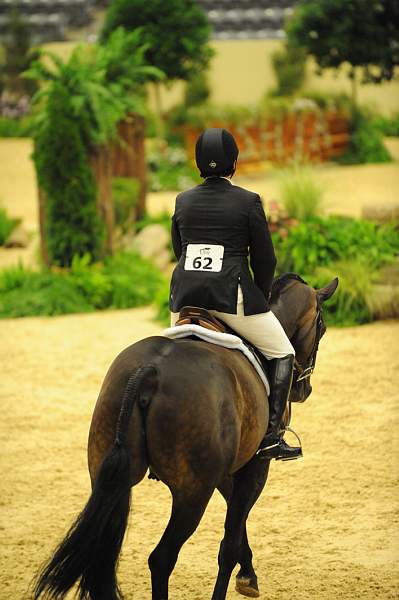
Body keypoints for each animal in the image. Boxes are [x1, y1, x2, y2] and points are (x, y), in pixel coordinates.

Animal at [32, 274, 338, 600]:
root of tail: (149, 371)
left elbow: (236, 523)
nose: (303, 390)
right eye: (322, 328)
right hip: (192, 493)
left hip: (111, 477)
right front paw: (243, 577)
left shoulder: (225, 471)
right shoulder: (255, 466)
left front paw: (248, 575)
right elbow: (229, 542)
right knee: (161, 559)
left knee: (104, 561)